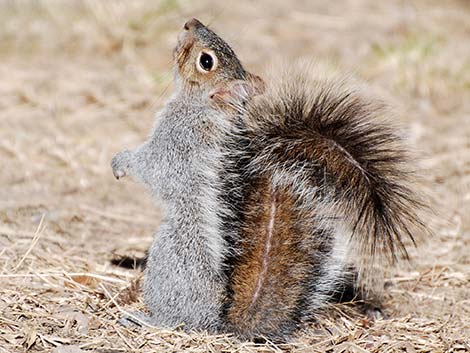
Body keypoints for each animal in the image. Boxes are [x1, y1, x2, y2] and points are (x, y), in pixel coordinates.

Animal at [111, 17, 426, 340]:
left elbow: (152, 169)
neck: (200, 106)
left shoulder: (177, 144)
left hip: (171, 263)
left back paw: (146, 319)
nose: (190, 23)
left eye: (206, 61)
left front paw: (122, 162)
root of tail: (219, 323)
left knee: (179, 321)